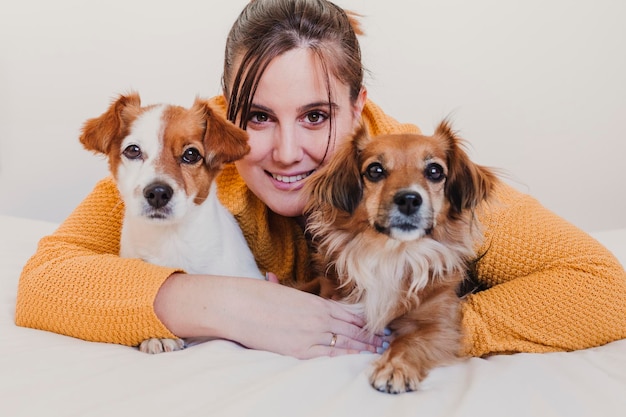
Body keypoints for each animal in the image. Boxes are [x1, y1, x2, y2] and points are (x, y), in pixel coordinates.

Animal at [302, 121, 498, 394]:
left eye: (435, 171)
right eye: (375, 170)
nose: (409, 199)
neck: (393, 254)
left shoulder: (442, 325)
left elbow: (411, 341)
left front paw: (395, 367)